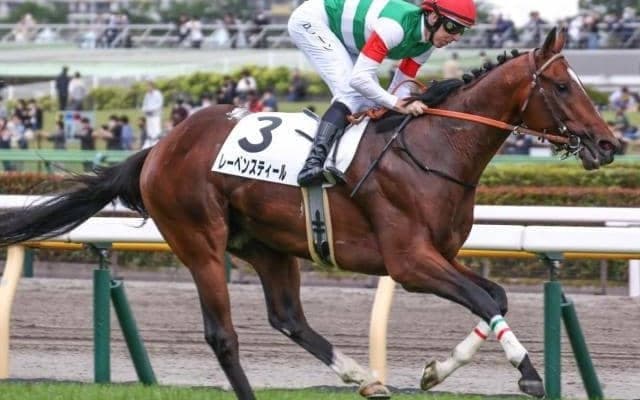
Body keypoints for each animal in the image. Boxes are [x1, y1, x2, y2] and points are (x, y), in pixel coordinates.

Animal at [0, 28, 619, 399]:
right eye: (562, 85)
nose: (609, 144)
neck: (435, 148)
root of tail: (160, 146)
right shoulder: (409, 262)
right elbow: (485, 300)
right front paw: (529, 375)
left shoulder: (440, 254)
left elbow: (495, 297)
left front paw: (434, 370)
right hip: (199, 241)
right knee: (223, 336)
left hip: (270, 246)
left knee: (287, 317)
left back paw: (361, 377)